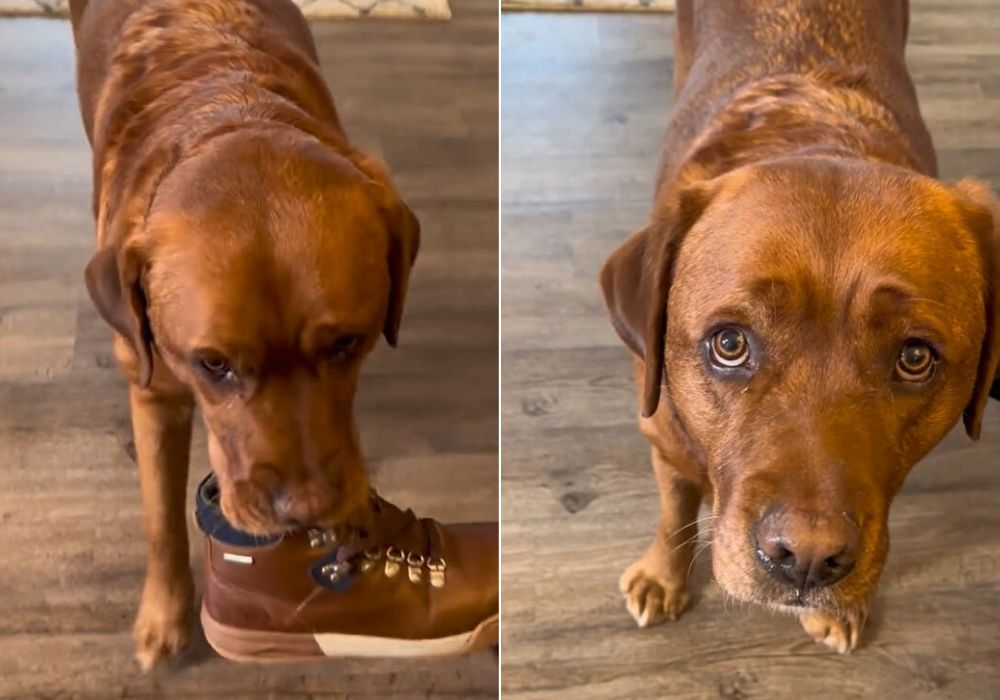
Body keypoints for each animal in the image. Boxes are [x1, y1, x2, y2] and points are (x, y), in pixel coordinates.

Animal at [67, 0, 418, 668]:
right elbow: (159, 518)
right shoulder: (154, 390)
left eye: (348, 343)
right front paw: (164, 616)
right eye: (213, 364)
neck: (230, 107)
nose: (305, 511)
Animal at [596, 0, 996, 652]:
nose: (806, 559)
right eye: (729, 344)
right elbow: (675, 508)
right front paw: (663, 575)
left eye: (915, 358)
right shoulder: (665, 438)